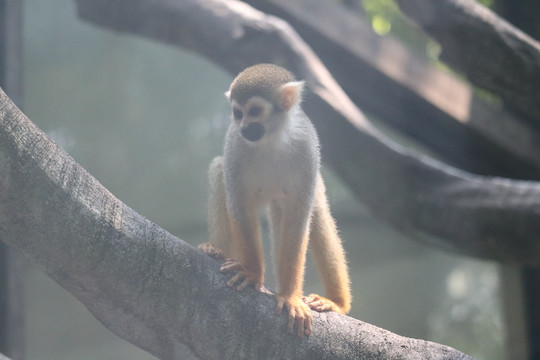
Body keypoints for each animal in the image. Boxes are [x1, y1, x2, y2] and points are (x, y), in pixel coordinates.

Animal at [200, 63, 352, 336]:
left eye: (254, 111)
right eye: (238, 114)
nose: (244, 127)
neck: (271, 139)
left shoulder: (307, 147)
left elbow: (297, 222)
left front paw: (289, 296)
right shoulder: (235, 145)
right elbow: (240, 207)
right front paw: (251, 272)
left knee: (316, 211)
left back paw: (336, 302)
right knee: (219, 170)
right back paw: (216, 250)